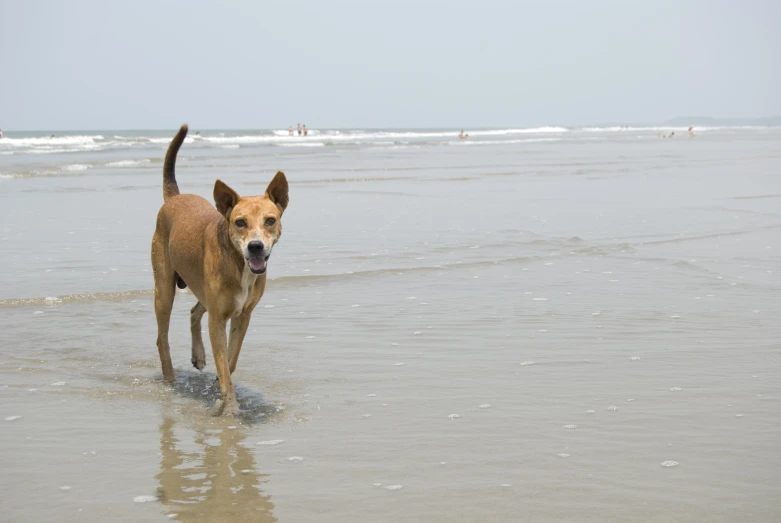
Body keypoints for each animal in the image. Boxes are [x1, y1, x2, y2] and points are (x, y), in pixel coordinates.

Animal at [151, 125, 288, 416]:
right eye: (240, 222)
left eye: (270, 220)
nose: (256, 246)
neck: (239, 264)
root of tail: (175, 197)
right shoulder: (217, 319)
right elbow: (224, 363)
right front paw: (230, 407)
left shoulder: (242, 315)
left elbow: (230, 359)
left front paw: (219, 385)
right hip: (164, 289)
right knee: (162, 338)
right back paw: (170, 378)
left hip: (202, 288)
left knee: (194, 312)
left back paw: (199, 355)